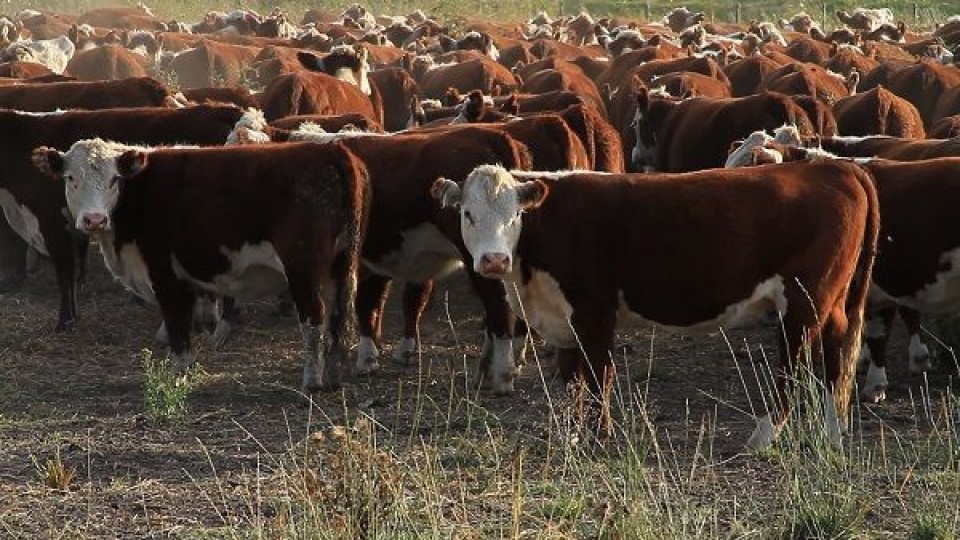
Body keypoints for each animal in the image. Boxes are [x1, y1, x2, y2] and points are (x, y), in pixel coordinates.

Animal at [33, 139, 372, 392]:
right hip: (342, 267)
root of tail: (332, 151)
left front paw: (179, 376)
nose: (94, 220)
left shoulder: (166, 276)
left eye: (114, 179)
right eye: (71, 178)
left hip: (303, 268)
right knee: (337, 319)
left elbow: (178, 329)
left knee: (314, 318)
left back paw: (311, 383)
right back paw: (332, 378)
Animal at [432, 160, 880, 448]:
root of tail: (835, 167)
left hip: (803, 300)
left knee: (793, 366)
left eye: (514, 215)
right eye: (468, 213)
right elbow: (572, 380)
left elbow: (598, 377)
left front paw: (598, 436)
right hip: (830, 300)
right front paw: (574, 433)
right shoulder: (564, 320)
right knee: (836, 350)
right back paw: (834, 430)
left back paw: (763, 435)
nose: (494, 260)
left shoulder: (594, 312)